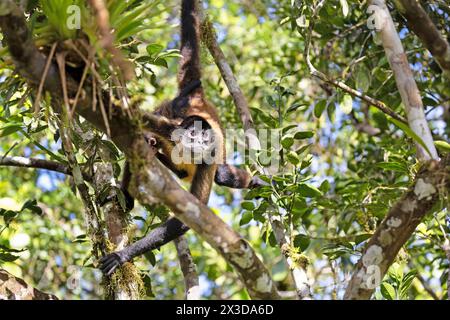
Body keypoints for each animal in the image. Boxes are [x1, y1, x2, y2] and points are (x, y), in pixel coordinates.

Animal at [99, 0, 264, 276]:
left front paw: (123, 256)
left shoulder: (210, 156)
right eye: (193, 134)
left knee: (221, 175)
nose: (197, 142)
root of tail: (197, 99)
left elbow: (188, 219)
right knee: (148, 142)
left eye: (204, 140)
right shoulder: (171, 127)